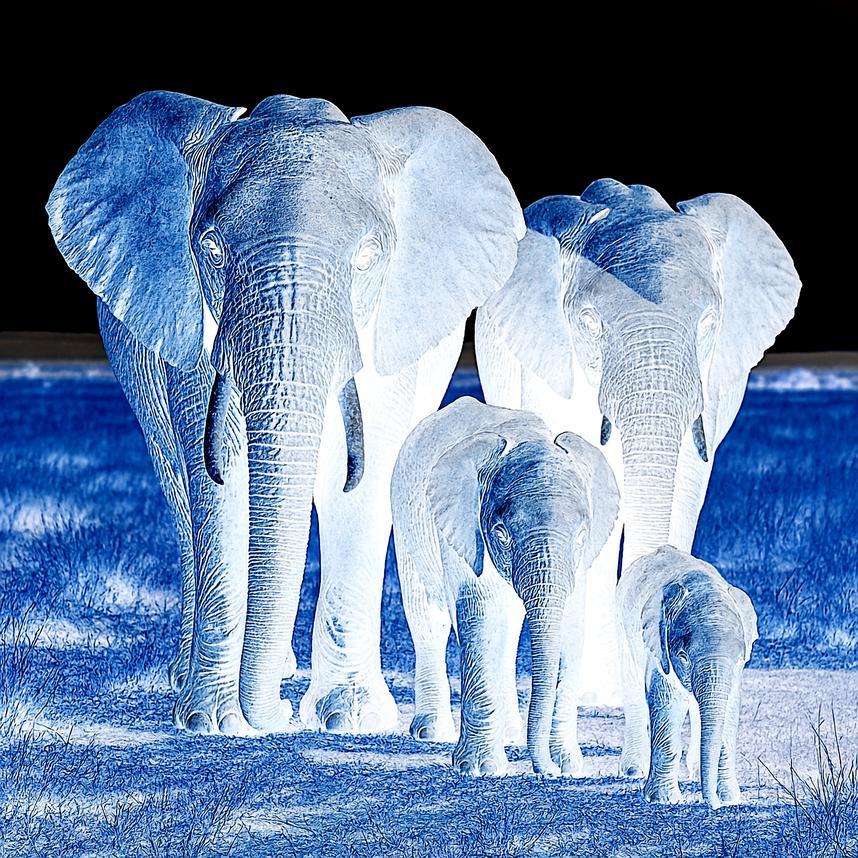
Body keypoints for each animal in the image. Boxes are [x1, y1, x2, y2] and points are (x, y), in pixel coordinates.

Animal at [47, 91, 524, 735]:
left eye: (368, 256)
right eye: (211, 249)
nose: (273, 712)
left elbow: (362, 482)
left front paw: (349, 718)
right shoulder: (196, 323)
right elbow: (220, 480)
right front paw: (214, 720)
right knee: (178, 490)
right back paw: (193, 676)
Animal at [391, 396, 619, 775]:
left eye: (581, 535)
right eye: (501, 534)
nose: (546, 772)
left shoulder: (580, 562)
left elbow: (571, 629)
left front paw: (569, 766)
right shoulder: (464, 527)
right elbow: (481, 618)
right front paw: (479, 769)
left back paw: (511, 733)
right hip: (406, 523)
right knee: (429, 619)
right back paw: (431, 732)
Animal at [616, 545, 758, 808]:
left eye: (739, 659)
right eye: (683, 657)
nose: (712, 804)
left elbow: (730, 709)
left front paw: (729, 798)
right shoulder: (659, 649)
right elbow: (667, 701)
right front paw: (662, 799)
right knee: (633, 692)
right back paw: (632, 770)